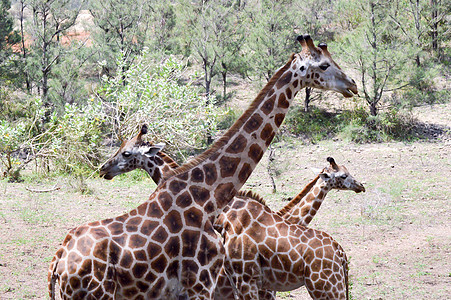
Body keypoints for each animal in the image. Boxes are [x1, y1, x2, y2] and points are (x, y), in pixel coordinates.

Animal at [47, 34, 358, 298]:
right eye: (324, 64)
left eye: (125, 153)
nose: (352, 85)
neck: (207, 197)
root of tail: (58, 262)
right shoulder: (203, 283)